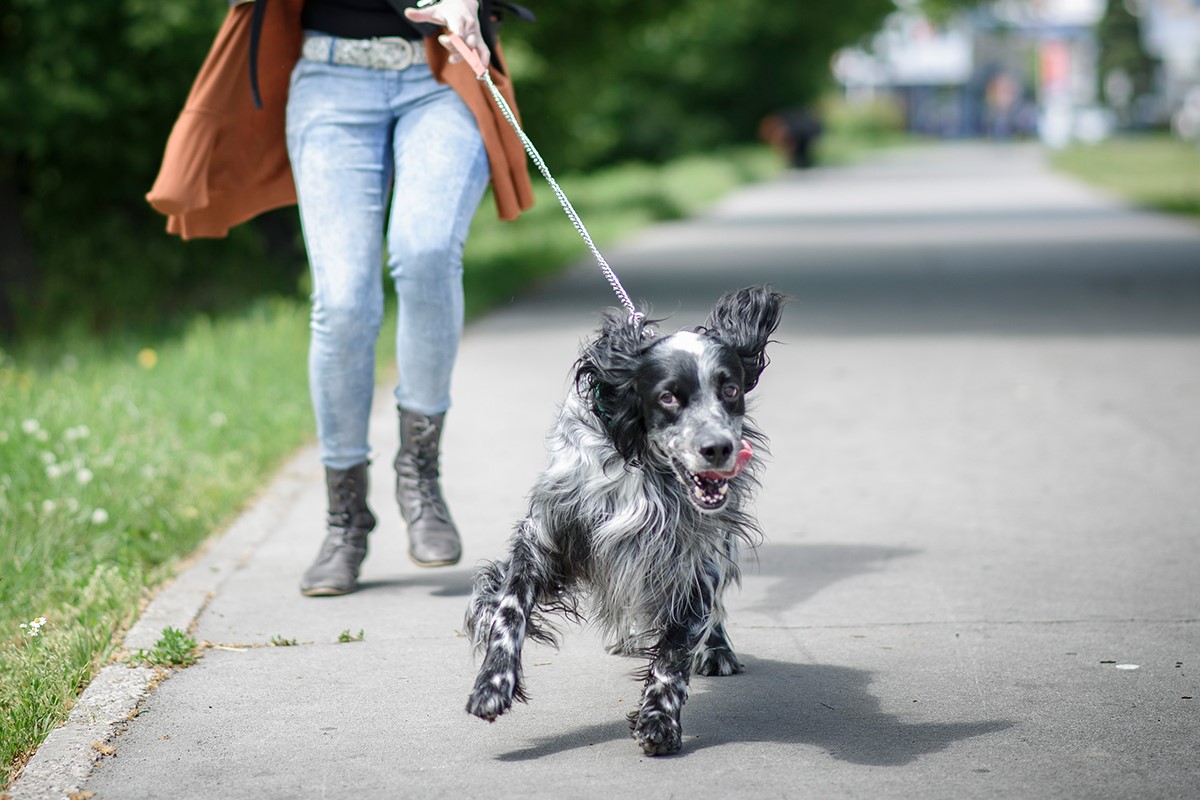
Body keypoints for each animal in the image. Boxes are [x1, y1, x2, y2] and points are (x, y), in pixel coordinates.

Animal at [460, 287, 787, 758]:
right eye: (669, 397)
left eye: (730, 389)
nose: (719, 448)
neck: (644, 466)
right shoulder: (545, 537)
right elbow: (507, 609)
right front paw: (493, 683)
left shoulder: (692, 560)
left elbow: (675, 651)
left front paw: (660, 719)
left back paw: (717, 649)